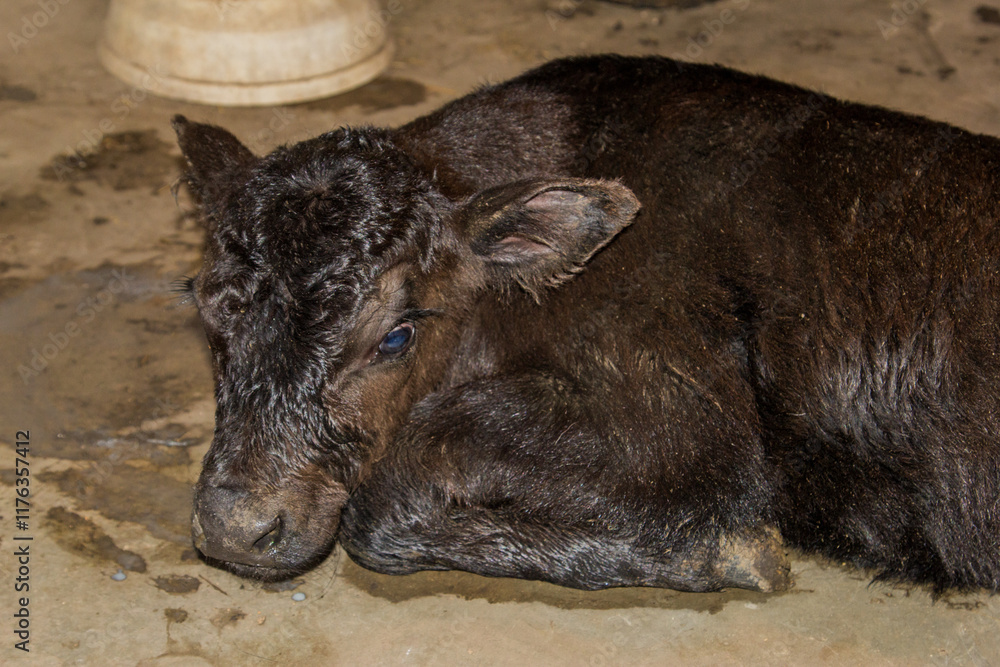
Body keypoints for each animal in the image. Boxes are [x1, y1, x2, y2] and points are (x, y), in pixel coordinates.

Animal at [175, 55, 1000, 594]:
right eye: (209, 307)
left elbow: (393, 486)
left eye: (397, 335)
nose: (238, 525)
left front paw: (732, 553)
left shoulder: (686, 428)